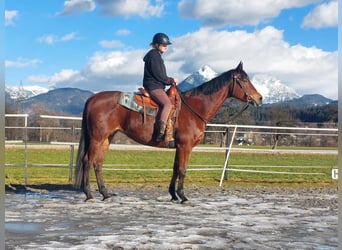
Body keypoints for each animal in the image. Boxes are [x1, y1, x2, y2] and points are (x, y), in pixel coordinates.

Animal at [74, 62, 262, 203]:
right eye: (244, 80)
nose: (259, 98)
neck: (193, 108)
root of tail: (93, 98)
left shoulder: (179, 146)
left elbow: (175, 168)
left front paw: (173, 194)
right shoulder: (185, 146)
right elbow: (183, 169)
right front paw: (183, 196)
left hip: (107, 138)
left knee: (98, 164)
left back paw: (105, 194)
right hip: (97, 138)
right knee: (88, 161)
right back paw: (89, 195)